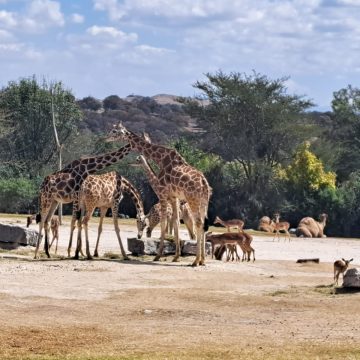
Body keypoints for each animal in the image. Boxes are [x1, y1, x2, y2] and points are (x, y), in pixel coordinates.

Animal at [105, 124, 211, 268]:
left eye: (115, 131)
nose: (106, 138)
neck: (161, 159)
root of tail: (204, 183)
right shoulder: (174, 196)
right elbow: (175, 223)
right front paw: (176, 257)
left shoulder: (163, 194)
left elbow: (164, 223)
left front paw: (158, 256)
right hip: (204, 201)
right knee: (203, 224)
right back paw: (202, 260)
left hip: (192, 199)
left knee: (198, 223)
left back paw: (195, 261)